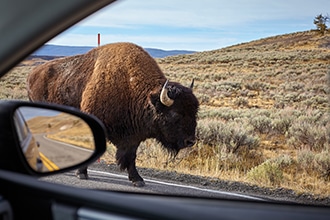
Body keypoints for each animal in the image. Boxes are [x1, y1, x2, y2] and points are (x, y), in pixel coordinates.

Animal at [27, 42, 199, 186]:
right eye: (175, 114)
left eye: (195, 112)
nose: (190, 141)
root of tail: (33, 73)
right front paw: (81, 173)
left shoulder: (133, 136)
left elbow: (130, 156)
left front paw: (137, 179)